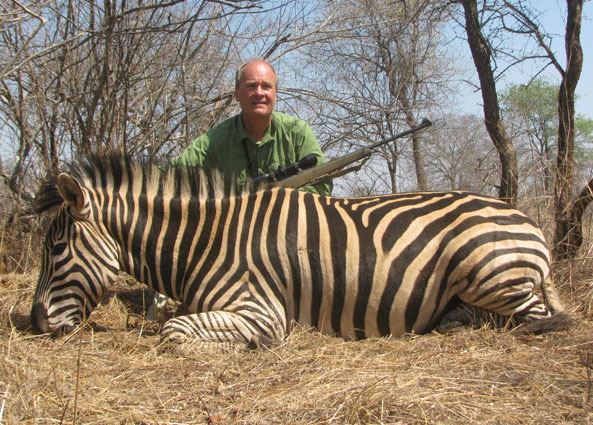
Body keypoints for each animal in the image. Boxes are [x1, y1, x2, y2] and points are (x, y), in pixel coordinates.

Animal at [31, 154, 569, 347]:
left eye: (56, 248)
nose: (34, 322)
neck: (206, 240)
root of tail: (524, 218)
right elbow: (174, 319)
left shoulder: (261, 309)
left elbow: (175, 332)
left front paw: (254, 345)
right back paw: (451, 322)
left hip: (488, 272)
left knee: (543, 319)